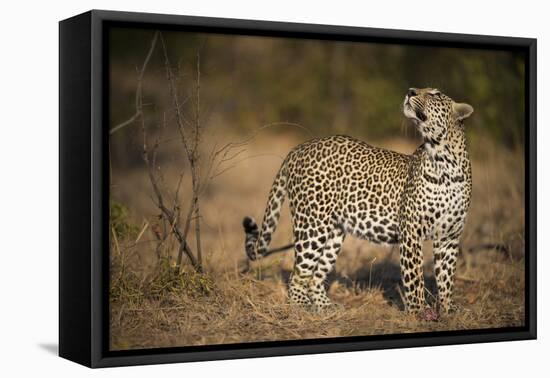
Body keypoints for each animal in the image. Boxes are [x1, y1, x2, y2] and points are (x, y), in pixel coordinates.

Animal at [244, 87, 476, 314]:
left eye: (435, 94)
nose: (410, 91)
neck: (444, 161)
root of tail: (298, 148)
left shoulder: (449, 237)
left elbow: (446, 277)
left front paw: (448, 308)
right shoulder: (411, 231)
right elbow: (414, 277)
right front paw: (419, 311)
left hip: (333, 232)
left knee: (316, 274)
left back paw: (326, 307)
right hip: (312, 225)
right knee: (298, 275)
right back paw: (302, 306)